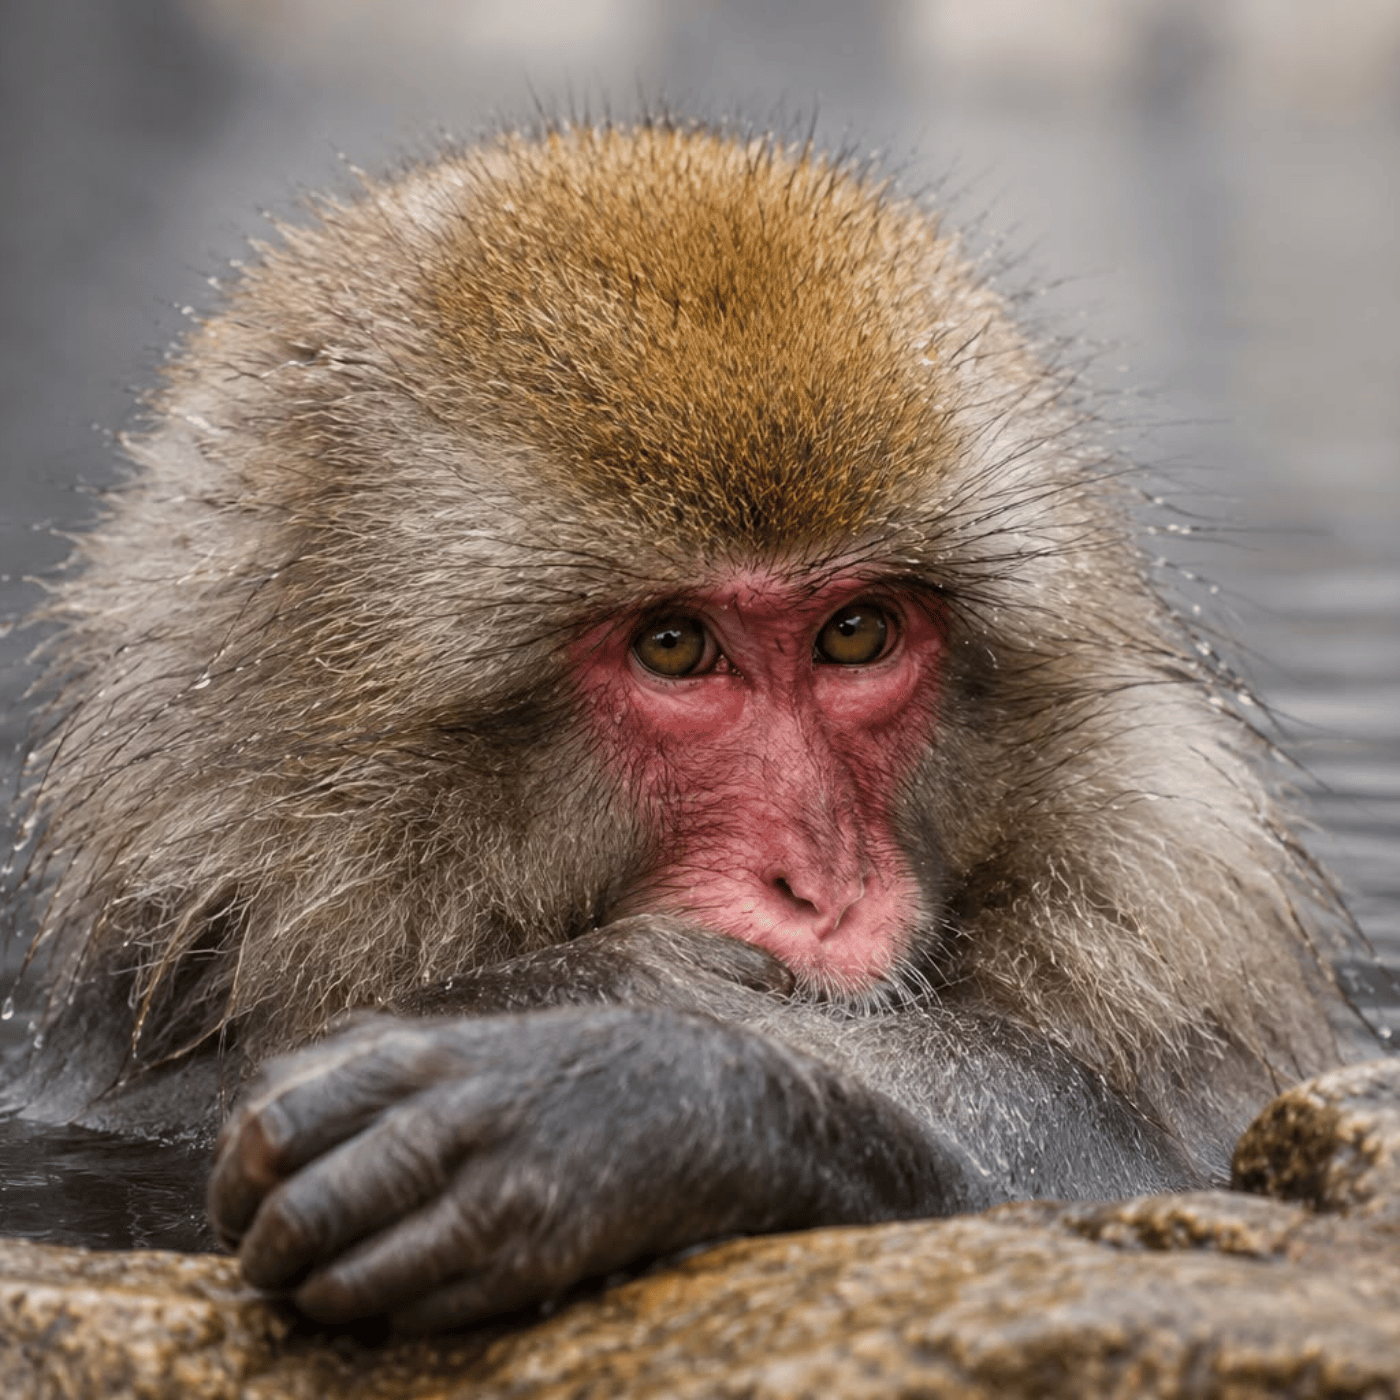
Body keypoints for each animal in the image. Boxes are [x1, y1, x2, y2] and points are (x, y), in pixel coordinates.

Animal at [8, 117, 1365, 1331]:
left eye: (855, 633)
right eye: (672, 646)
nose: (819, 881)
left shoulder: (1153, 884)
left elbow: (1140, 1146)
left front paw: (622, 1079)